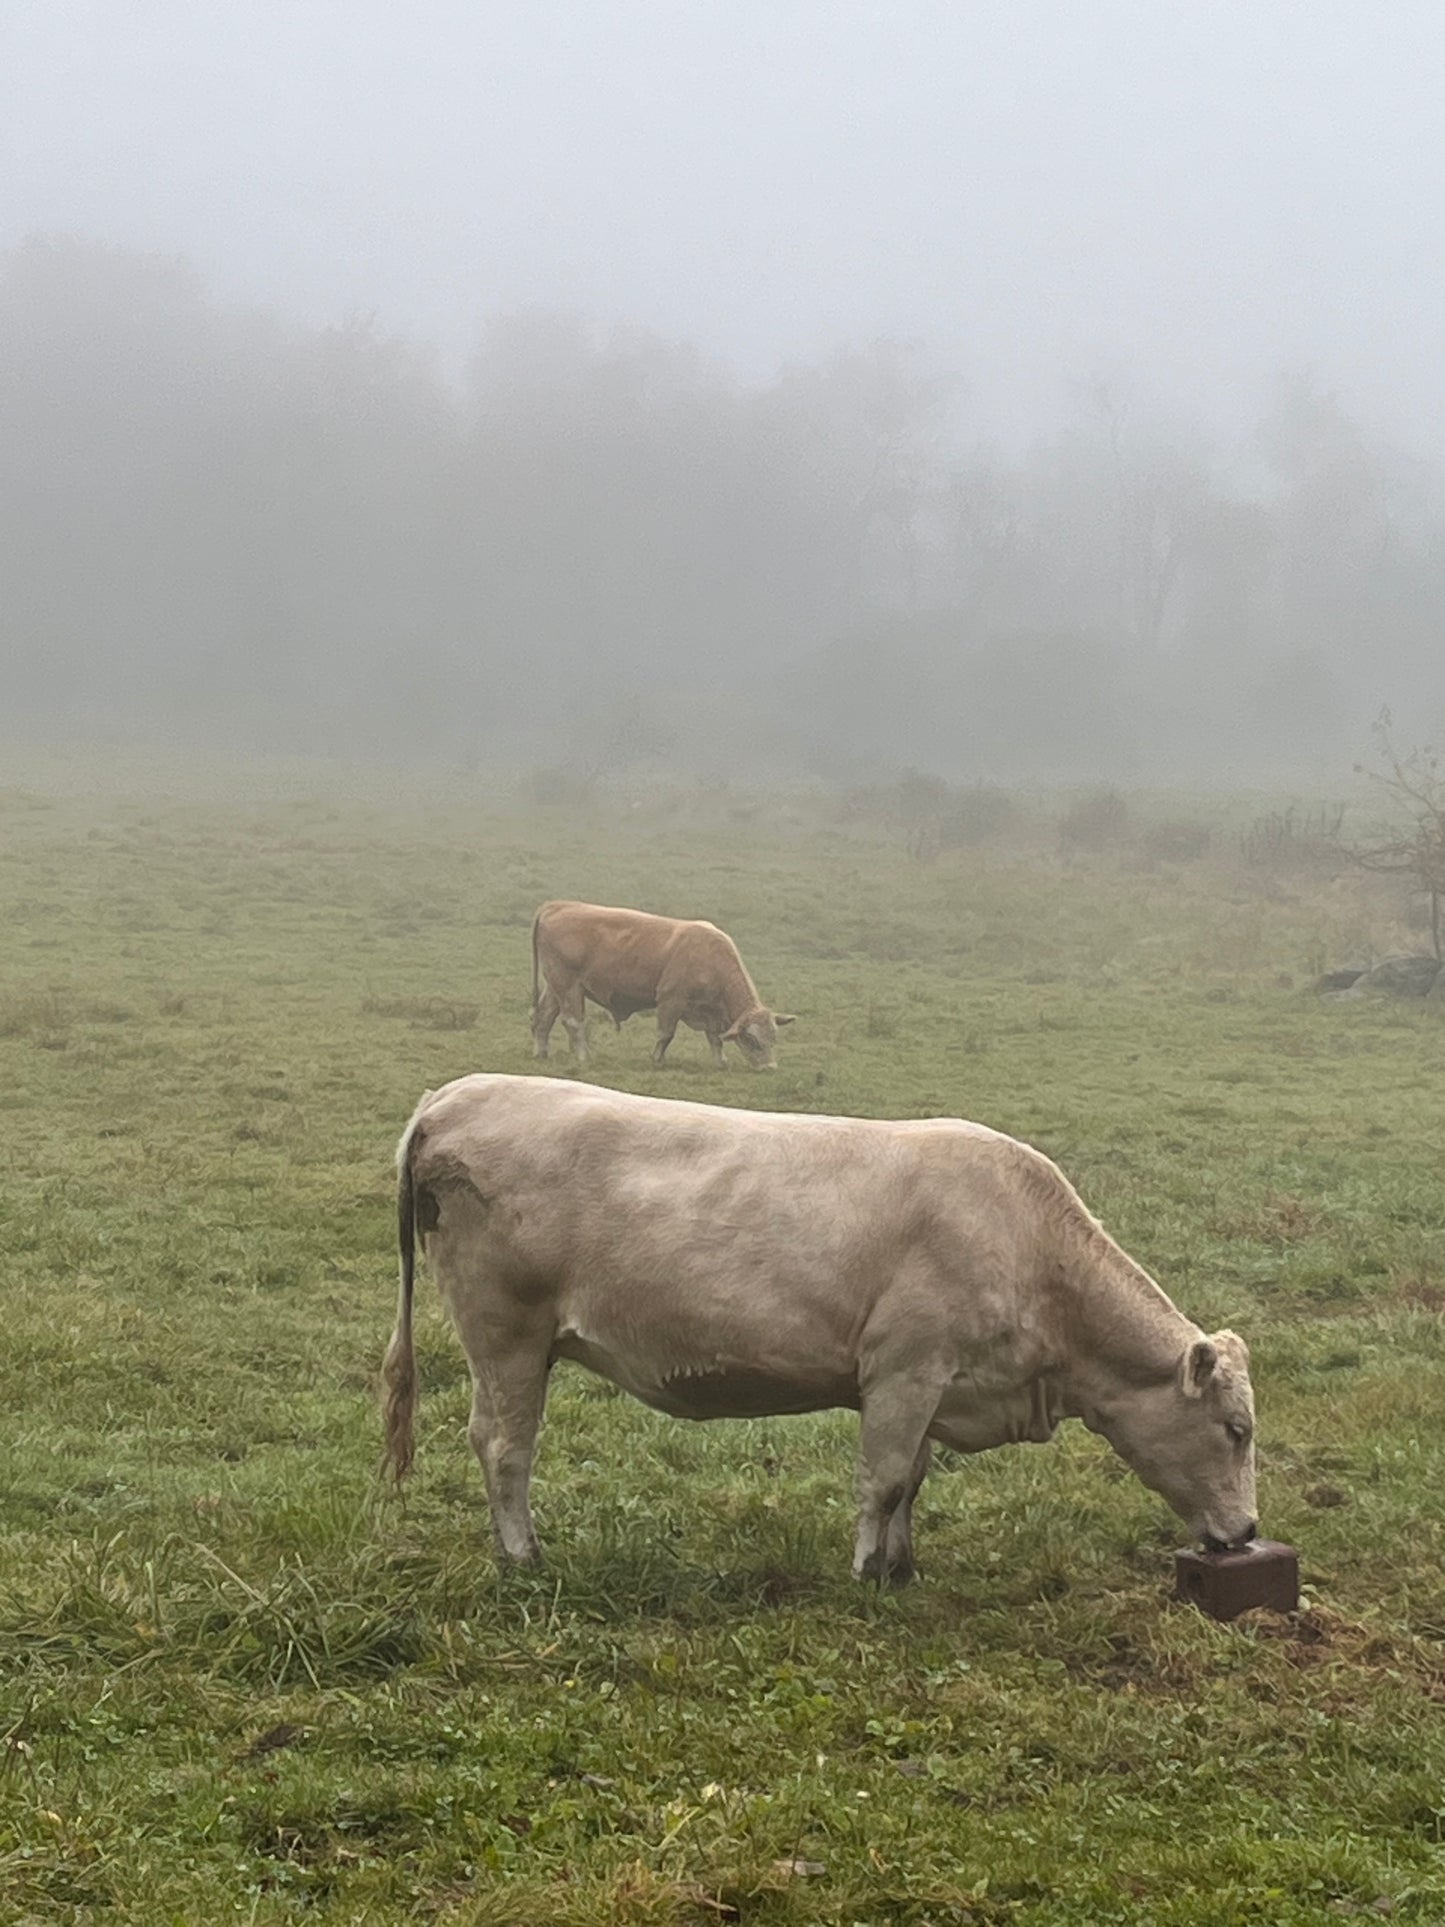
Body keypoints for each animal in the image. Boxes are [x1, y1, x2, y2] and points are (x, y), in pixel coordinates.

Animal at [381, 1079, 1256, 1572]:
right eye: (1236, 1429)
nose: (1246, 1530)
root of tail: (456, 1094)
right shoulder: (905, 1367)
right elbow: (885, 1477)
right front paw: (868, 1568)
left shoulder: (932, 1383)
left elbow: (913, 1477)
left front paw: (903, 1562)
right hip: (506, 1331)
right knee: (504, 1444)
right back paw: (523, 1555)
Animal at [527, 897, 797, 1071]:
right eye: (752, 1040)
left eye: (774, 1037)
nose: (770, 1067)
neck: (710, 957)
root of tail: (557, 906)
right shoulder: (671, 1000)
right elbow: (666, 1034)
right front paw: (656, 1059)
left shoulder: (710, 1010)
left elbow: (715, 1038)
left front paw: (721, 1062)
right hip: (568, 986)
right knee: (573, 1022)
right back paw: (584, 1057)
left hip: (555, 987)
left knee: (544, 1017)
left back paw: (541, 1052)